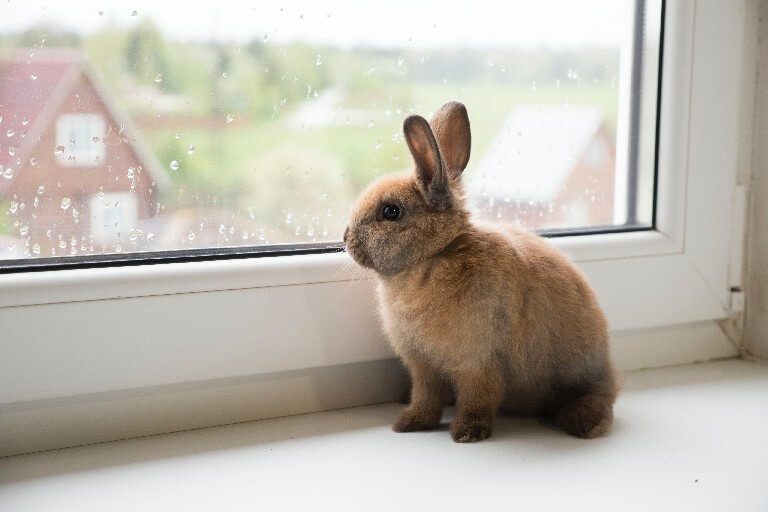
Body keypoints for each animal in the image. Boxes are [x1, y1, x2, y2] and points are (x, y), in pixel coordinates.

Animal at [344, 101, 618, 443]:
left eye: (391, 211)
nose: (345, 238)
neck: (435, 255)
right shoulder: (424, 367)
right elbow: (426, 397)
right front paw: (409, 423)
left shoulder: (479, 363)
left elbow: (479, 398)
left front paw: (467, 433)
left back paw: (586, 421)